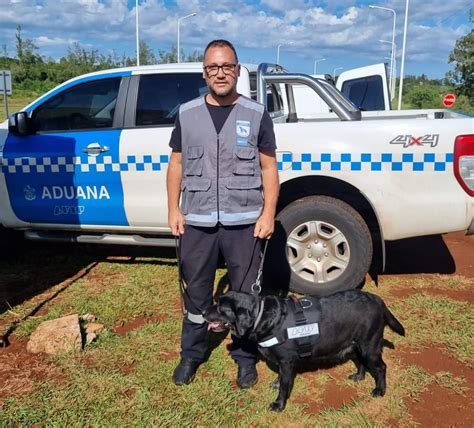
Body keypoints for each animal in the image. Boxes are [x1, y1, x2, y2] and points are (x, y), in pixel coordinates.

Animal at [203, 290, 404, 412]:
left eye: (220, 307)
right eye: (217, 302)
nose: (203, 312)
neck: (264, 317)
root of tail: (378, 300)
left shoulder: (286, 362)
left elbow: (284, 386)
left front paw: (279, 404)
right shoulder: (283, 363)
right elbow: (280, 378)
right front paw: (276, 383)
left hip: (370, 346)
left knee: (381, 367)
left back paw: (379, 390)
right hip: (356, 344)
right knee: (361, 361)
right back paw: (359, 376)